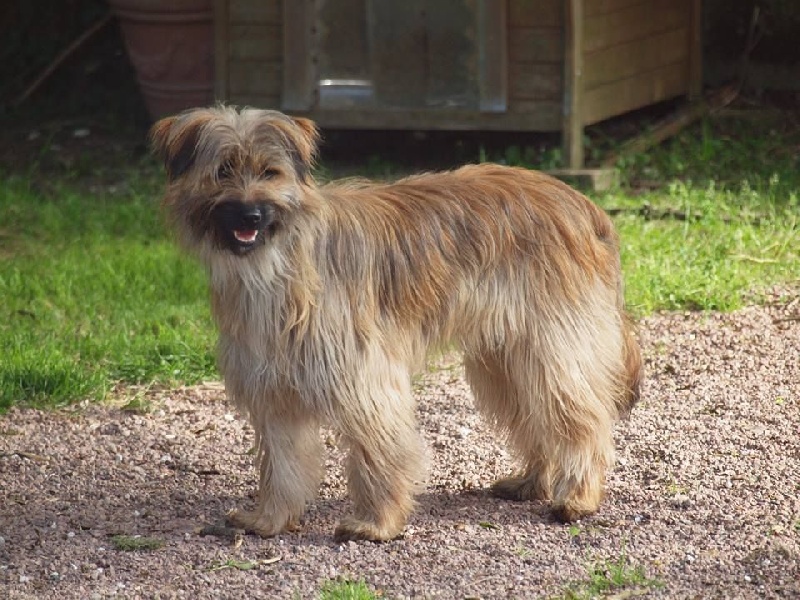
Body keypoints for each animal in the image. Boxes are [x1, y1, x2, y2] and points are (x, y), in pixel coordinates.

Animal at [150, 108, 640, 544]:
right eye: (223, 171)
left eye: (270, 172)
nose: (250, 216)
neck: (280, 260)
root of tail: (583, 205)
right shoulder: (273, 387)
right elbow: (283, 463)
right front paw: (268, 519)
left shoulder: (364, 378)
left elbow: (377, 450)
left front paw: (377, 524)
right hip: (505, 357)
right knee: (537, 414)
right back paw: (532, 482)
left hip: (552, 344)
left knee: (580, 416)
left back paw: (578, 497)